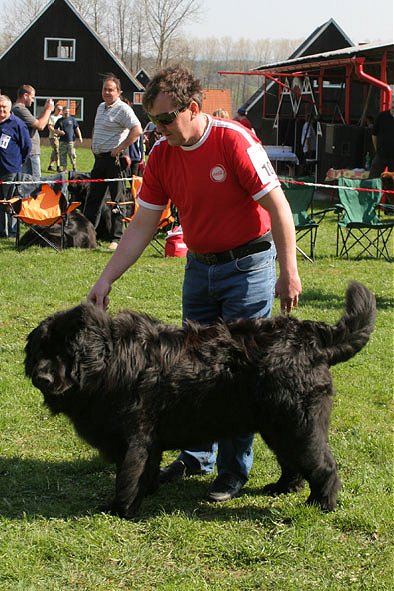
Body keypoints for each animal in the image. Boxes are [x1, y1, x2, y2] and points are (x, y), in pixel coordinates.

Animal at [24, 282, 376, 520]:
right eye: (41, 349)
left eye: (65, 352)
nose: (41, 377)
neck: (111, 362)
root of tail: (311, 339)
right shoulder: (149, 438)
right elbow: (145, 470)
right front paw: (146, 492)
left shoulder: (134, 437)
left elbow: (128, 475)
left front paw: (118, 509)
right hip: (279, 424)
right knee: (293, 460)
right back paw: (283, 487)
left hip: (297, 422)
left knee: (322, 463)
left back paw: (321, 503)